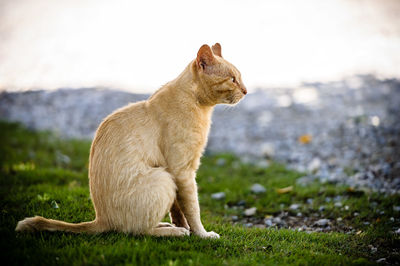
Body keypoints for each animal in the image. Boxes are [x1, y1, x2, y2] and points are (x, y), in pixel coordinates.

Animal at [15, 42, 247, 238]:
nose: (246, 91)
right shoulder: (182, 172)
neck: (199, 106)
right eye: (232, 80)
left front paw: (185, 227)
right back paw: (173, 232)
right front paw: (201, 234)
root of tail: (100, 218)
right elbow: (192, 210)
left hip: (165, 177)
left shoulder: (177, 173)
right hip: (163, 179)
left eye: (240, 78)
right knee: (138, 231)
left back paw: (168, 226)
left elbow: (178, 210)